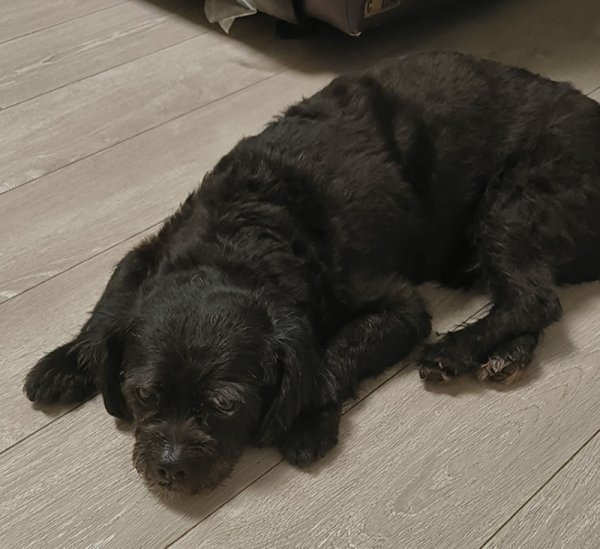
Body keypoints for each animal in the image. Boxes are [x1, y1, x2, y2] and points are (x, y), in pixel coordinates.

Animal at [24, 51, 600, 494]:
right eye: (143, 394)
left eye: (226, 405)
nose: (168, 469)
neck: (249, 235)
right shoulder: (154, 248)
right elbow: (113, 296)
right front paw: (68, 362)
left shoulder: (400, 307)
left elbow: (336, 352)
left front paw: (306, 419)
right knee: (531, 296)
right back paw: (505, 355)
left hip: (513, 201)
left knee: (535, 297)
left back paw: (458, 350)